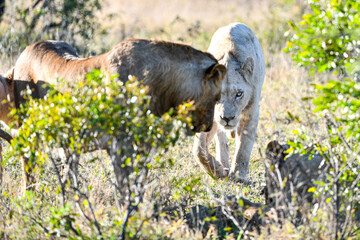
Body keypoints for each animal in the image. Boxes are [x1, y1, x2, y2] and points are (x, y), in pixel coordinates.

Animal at [3, 39, 225, 193]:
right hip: (29, 132)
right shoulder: (120, 146)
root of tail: (27, 50)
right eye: (217, 98)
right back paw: (29, 197)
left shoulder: (142, 146)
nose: (207, 127)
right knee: (28, 167)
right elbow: (125, 187)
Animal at [193, 23, 266, 182]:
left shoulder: (251, 112)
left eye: (238, 94)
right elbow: (199, 149)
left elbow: (243, 147)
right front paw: (218, 172)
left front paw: (239, 176)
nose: (227, 118)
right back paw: (223, 164)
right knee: (221, 140)